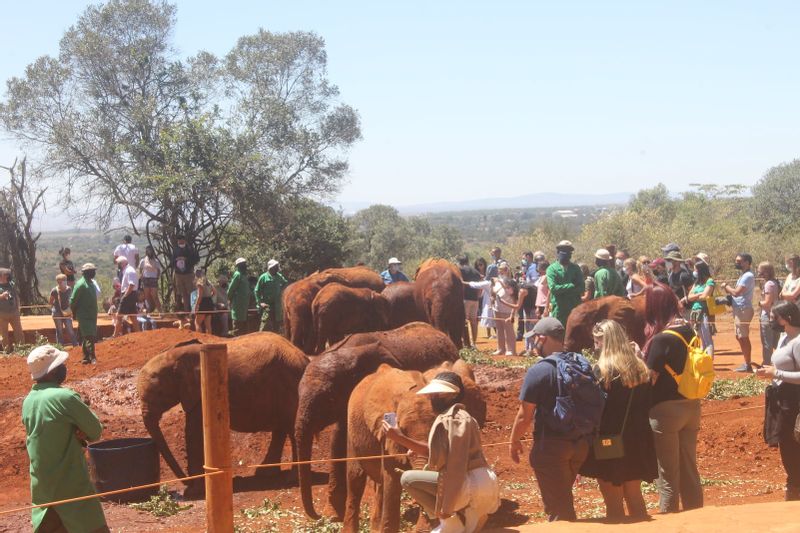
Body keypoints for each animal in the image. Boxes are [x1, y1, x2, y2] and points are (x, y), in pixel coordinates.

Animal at [136, 332, 308, 494]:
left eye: (159, 393)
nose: (185, 483)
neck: (173, 356)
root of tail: (304, 357)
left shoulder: (200, 392)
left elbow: (193, 433)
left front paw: (193, 492)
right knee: (280, 430)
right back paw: (265, 473)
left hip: (290, 385)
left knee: (291, 430)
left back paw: (291, 479)